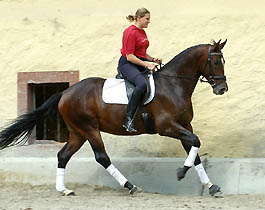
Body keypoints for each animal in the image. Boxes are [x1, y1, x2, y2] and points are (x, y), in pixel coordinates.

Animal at [0, 39, 227, 197]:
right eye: (216, 61)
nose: (222, 89)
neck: (173, 85)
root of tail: (65, 93)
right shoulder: (167, 126)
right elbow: (196, 142)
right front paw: (181, 172)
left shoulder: (184, 124)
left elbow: (194, 151)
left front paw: (211, 186)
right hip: (89, 129)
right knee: (102, 157)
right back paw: (130, 186)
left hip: (77, 133)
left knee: (63, 155)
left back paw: (64, 190)